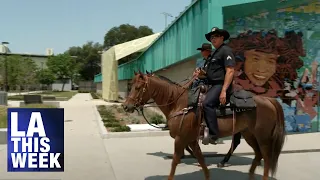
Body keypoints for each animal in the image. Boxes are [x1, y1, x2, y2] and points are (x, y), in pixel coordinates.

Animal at [122, 71, 284, 179]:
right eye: (130, 86)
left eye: (137, 87)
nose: (126, 106)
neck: (179, 103)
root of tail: (268, 100)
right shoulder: (192, 140)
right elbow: (201, 160)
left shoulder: (181, 139)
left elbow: (175, 161)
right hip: (249, 134)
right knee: (257, 154)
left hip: (262, 137)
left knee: (266, 157)